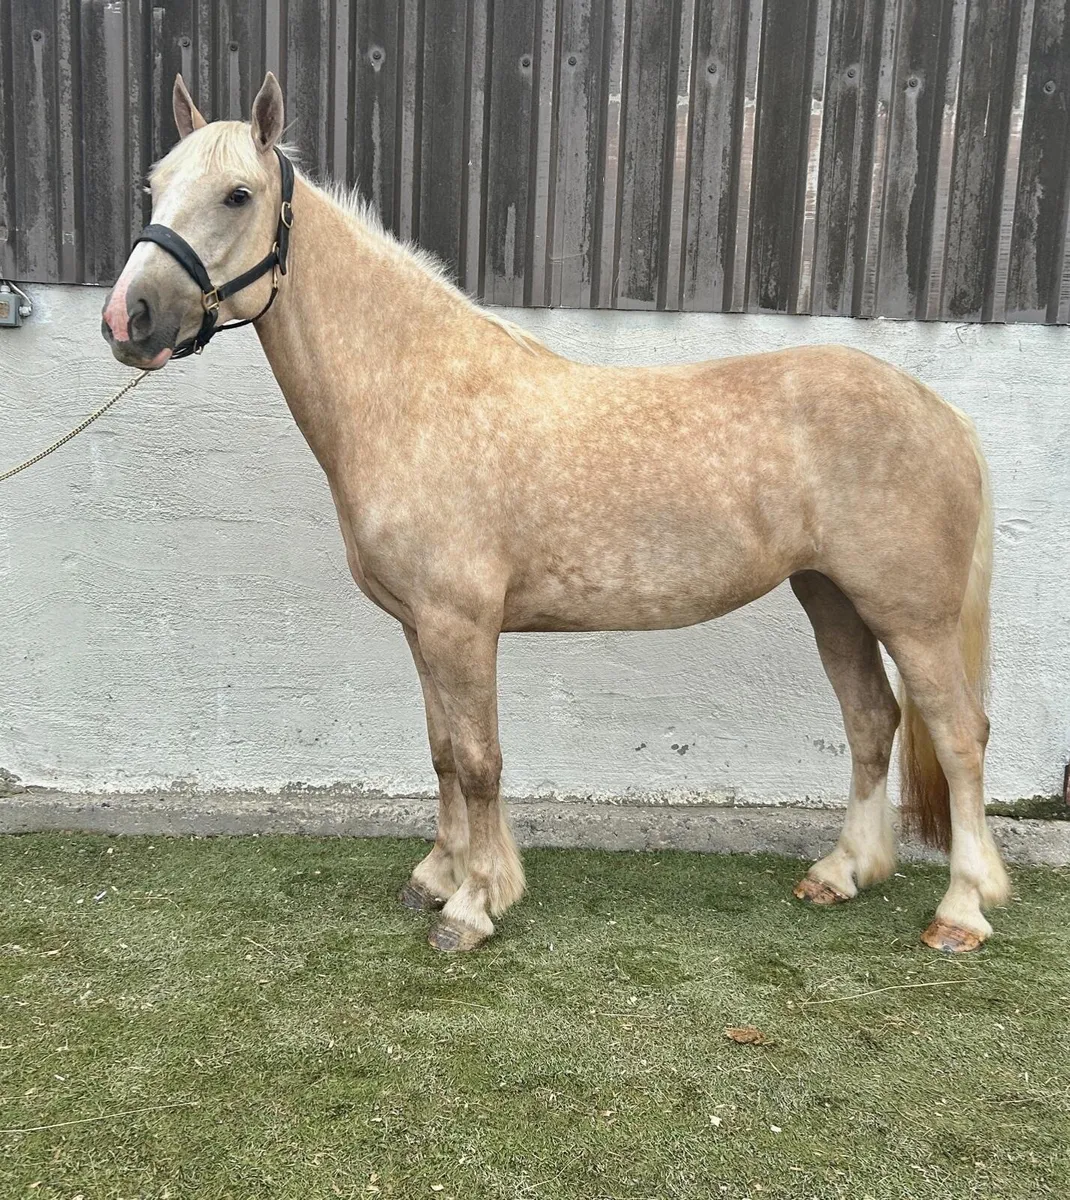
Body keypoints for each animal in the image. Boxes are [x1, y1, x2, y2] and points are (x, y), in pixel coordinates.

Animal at [101, 71, 1011, 954]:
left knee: (959, 733)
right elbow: (441, 752)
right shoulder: (420, 628)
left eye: (238, 195)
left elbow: (478, 761)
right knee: (871, 720)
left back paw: (961, 912)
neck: (414, 392)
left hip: (910, 614)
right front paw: (437, 876)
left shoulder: (461, 624)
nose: (128, 317)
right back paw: (842, 872)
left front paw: (473, 905)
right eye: (153, 185)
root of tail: (942, 412)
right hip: (833, 597)